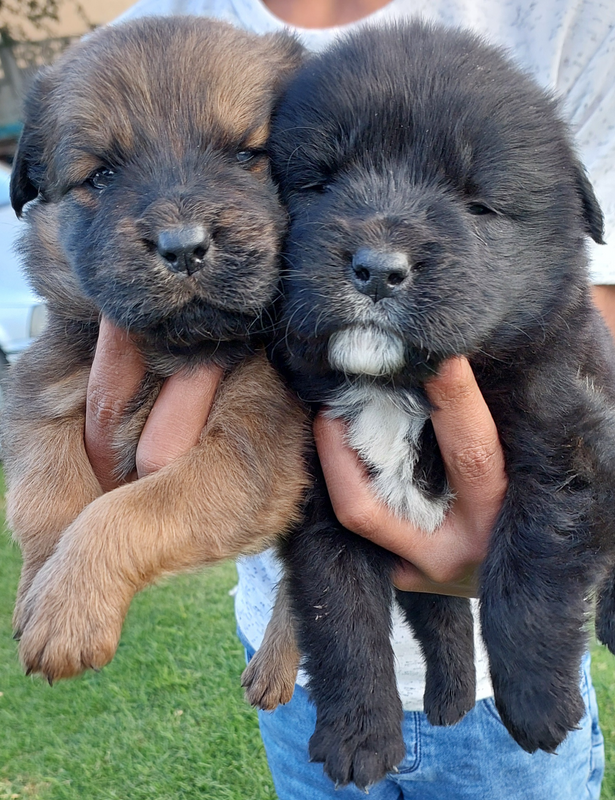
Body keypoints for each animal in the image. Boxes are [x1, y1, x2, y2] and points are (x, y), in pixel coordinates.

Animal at [3, 15, 312, 680]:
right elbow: (43, 493)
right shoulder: (41, 386)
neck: (177, 348)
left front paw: (67, 608)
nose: (184, 247)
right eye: (102, 176)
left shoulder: (248, 456)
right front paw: (40, 584)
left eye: (247, 155)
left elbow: (130, 509)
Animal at [268, 21, 612, 792]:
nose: (375, 269)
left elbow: (527, 565)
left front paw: (538, 700)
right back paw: (450, 698)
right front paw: (359, 733)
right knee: (439, 615)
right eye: (319, 181)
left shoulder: (567, 445)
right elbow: (342, 618)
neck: (396, 387)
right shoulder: (320, 506)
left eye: (477, 203)